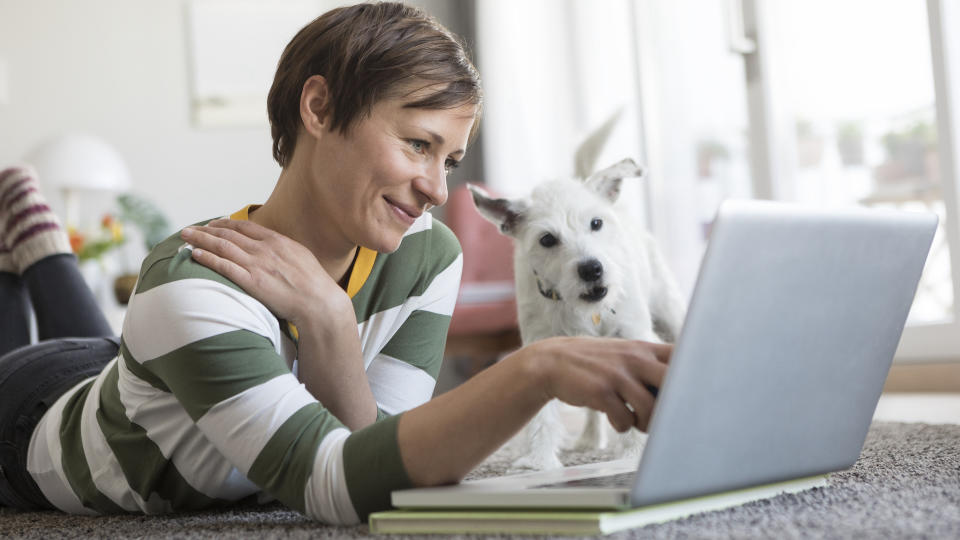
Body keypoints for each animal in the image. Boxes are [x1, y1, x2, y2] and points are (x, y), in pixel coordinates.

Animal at [468, 158, 688, 470]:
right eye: (547, 239)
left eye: (596, 223)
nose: (592, 269)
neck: (584, 309)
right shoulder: (542, 348)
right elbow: (542, 412)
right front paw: (539, 460)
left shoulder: (634, 336)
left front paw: (634, 451)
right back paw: (589, 439)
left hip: (669, 308)